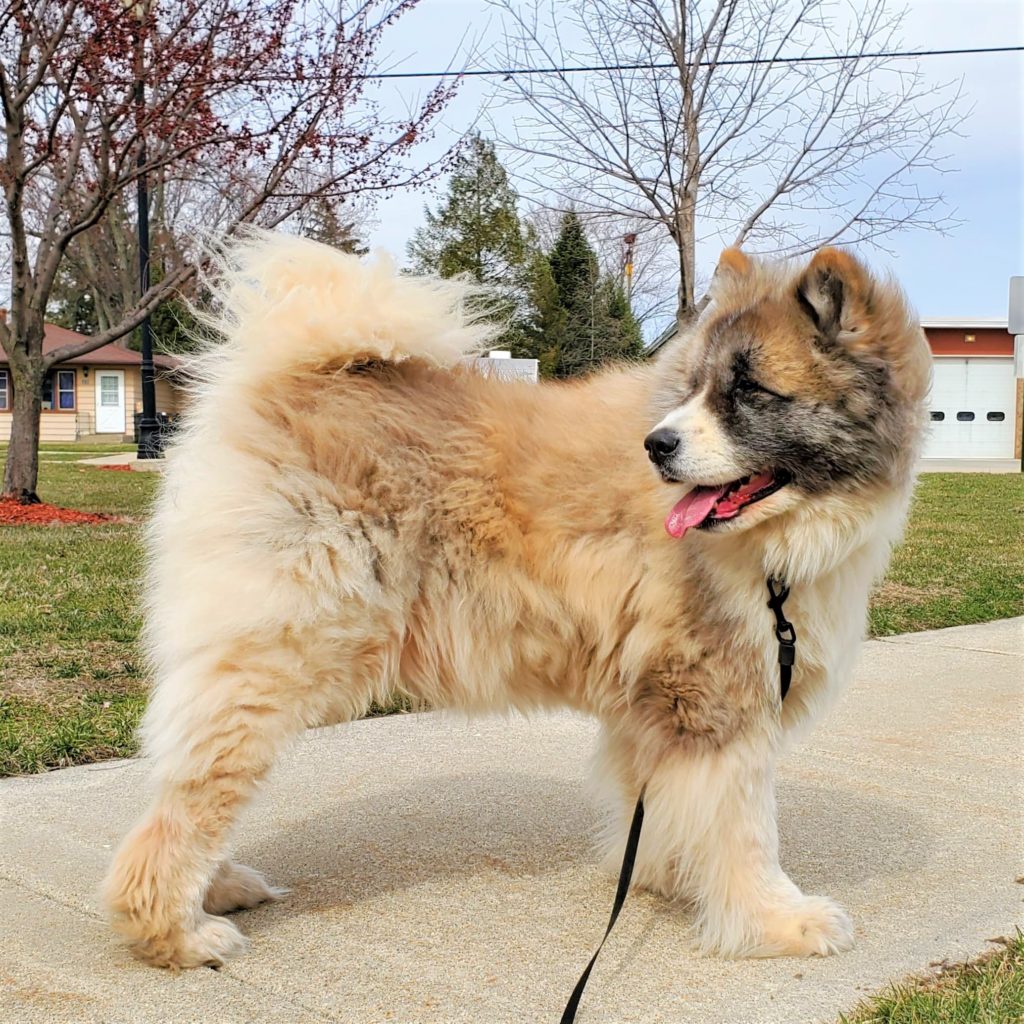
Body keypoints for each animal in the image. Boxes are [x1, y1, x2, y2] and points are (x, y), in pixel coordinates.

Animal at [103, 232, 929, 966]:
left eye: (749, 390)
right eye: (697, 386)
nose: (657, 446)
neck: (774, 544)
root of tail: (284, 379)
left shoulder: (655, 707)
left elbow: (659, 808)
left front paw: (666, 880)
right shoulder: (718, 704)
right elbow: (748, 831)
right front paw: (776, 922)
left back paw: (217, 890)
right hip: (282, 654)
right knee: (189, 803)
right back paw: (177, 933)